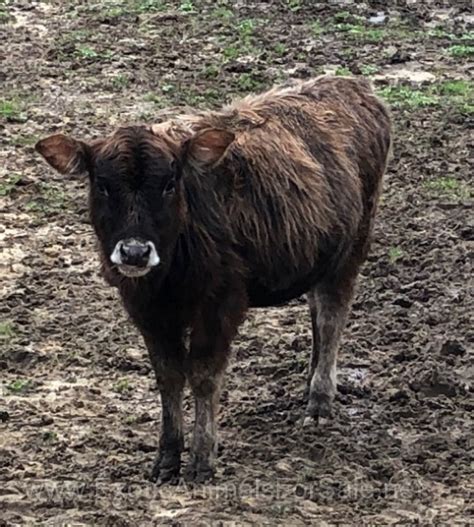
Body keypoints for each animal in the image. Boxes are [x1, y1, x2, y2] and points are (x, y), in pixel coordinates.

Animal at [36, 76, 392, 484]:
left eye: (170, 183)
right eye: (103, 186)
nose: (135, 253)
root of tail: (350, 85)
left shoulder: (220, 302)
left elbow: (204, 375)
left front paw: (203, 458)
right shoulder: (146, 309)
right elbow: (169, 376)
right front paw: (167, 457)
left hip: (351, 250)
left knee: (333, 315)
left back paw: (319, 401)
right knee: (318, 312)